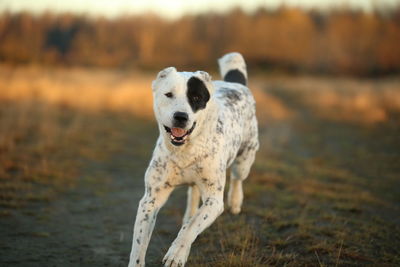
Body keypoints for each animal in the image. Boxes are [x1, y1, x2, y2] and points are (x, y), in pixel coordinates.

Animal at [128, 52, 260, 267]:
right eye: (168, 95)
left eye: (196, 97)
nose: (181, 116)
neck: (185, 150)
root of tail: (235, 83)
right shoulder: (150, 199)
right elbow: (139, 243)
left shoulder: (214, 200)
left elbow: (191, 228)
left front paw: (176, 254)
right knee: (193, 193)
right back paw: (189, 214)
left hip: (245, 159)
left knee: (237, 179)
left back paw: (235, 201)